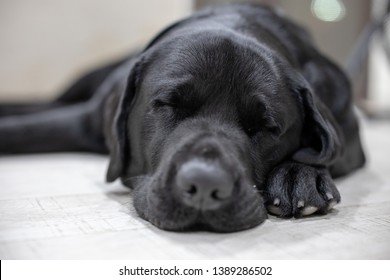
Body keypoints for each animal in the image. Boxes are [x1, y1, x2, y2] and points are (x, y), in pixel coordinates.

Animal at [0, 3, 366, 232]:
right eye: (168, 105)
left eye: (266, 127)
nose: (205, 185)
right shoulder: (81, 121)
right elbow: (23, 130)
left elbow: (327, 150)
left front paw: (299, 175)